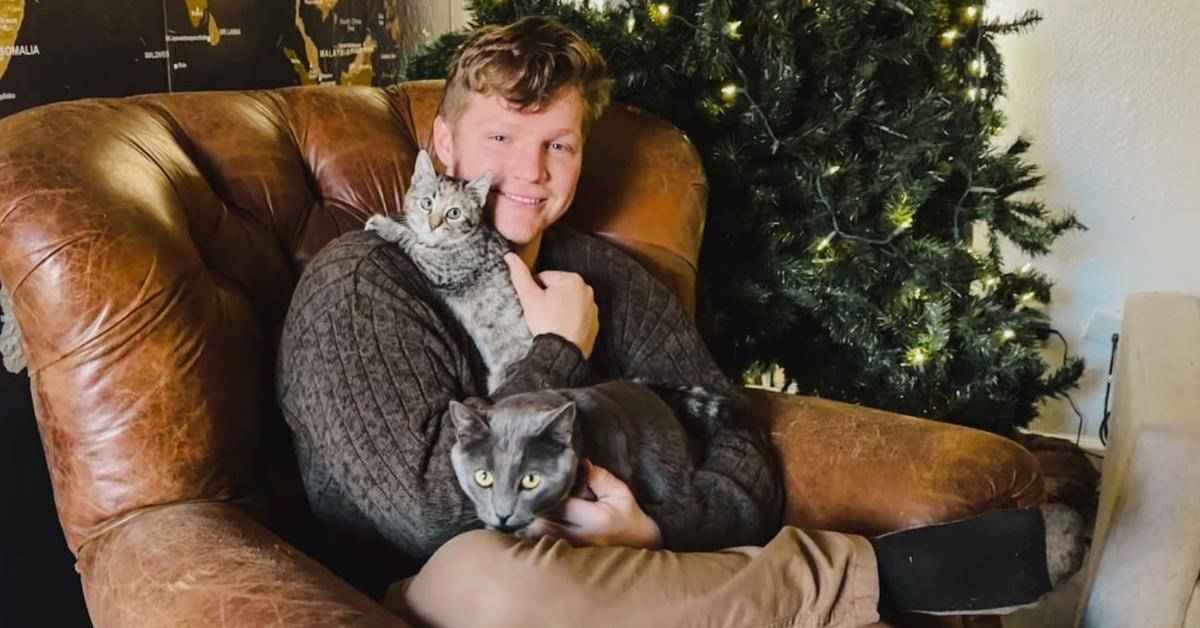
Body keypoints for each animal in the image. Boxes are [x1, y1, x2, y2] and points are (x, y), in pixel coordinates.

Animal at [364, 150, 530, 393]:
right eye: (427, 203)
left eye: (454, 213)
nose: (433, 225)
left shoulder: (441, 268)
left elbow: (408, 238)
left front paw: (382, 224)